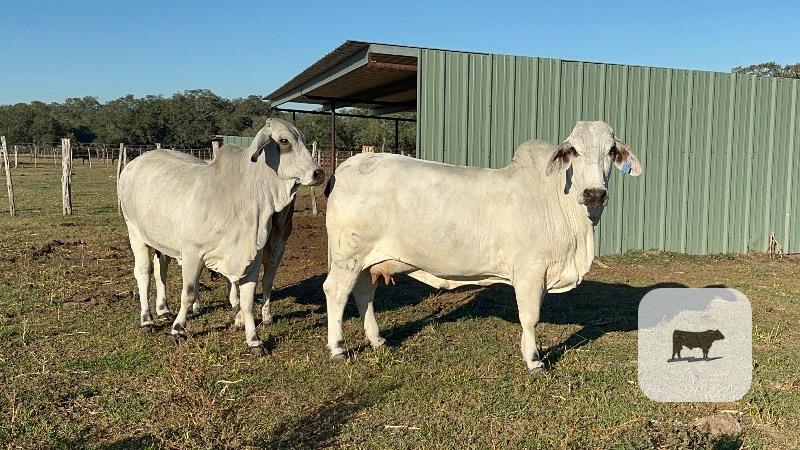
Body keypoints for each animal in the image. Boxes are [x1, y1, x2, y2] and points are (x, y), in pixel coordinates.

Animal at [118, 118, 324, 355]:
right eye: (284, 141)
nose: (318, 173)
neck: (243, 196)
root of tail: (135, 162)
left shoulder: (252, 258)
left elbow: (247, 301)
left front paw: (254, 340)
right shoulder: (192, 253)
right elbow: (188, 293)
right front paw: (177, 330)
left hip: (162, 241)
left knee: (161, 270)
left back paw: (163, 309)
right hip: (135, 233)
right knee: (144, 274)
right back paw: (147, 320)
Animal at [322, 121, 641, 372]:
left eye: (611, 151)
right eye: (574, 150)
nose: (594, 193)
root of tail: (347, 166)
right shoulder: (529, 271)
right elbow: (531, 317)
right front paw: (534, 360)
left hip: (368, 261)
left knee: (364, 294)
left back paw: (377, 340)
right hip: (348, 256)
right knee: (336, 292)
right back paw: (337, 348)